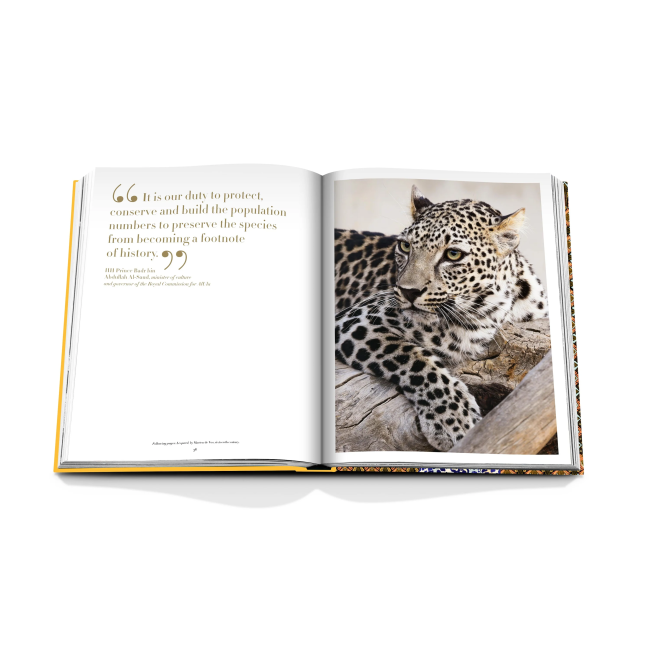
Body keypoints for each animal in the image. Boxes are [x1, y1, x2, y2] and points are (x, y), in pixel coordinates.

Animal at [334, 186, 548, 452]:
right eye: (405, 246)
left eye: (453, 254)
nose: (408, 291)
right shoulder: (359, 320)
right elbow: (415, 360)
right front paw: (454, 421)